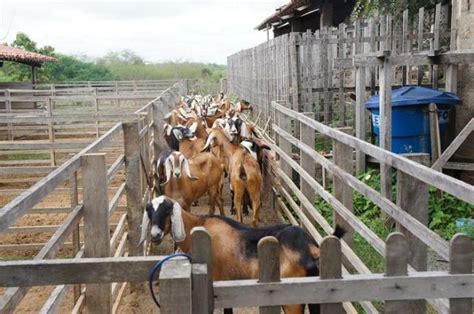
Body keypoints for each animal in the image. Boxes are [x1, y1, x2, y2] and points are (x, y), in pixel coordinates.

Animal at [140, 196, 344, 314]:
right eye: (149, 210)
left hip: (293, 299)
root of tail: (311, 248)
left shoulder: (220, 283)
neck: (199, 225)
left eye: (167, 210)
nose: (155, 235)